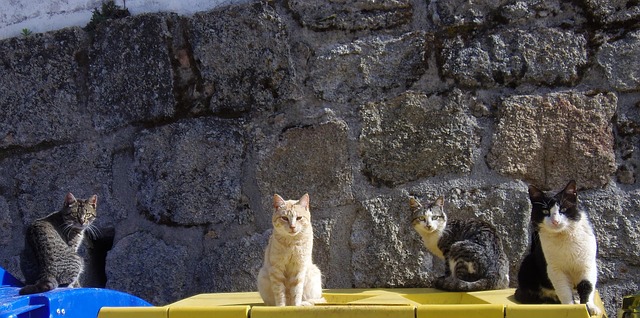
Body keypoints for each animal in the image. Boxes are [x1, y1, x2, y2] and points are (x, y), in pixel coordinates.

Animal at [516, 180, 600, 316]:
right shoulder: (555, 269)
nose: (555, 221)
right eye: (545, 211)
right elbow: (564, 290)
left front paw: (590, 306)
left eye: (563, 209)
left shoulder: (587, 265)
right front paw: (570, 307)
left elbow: (587, 286)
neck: (563, 237)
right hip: (527, 263)